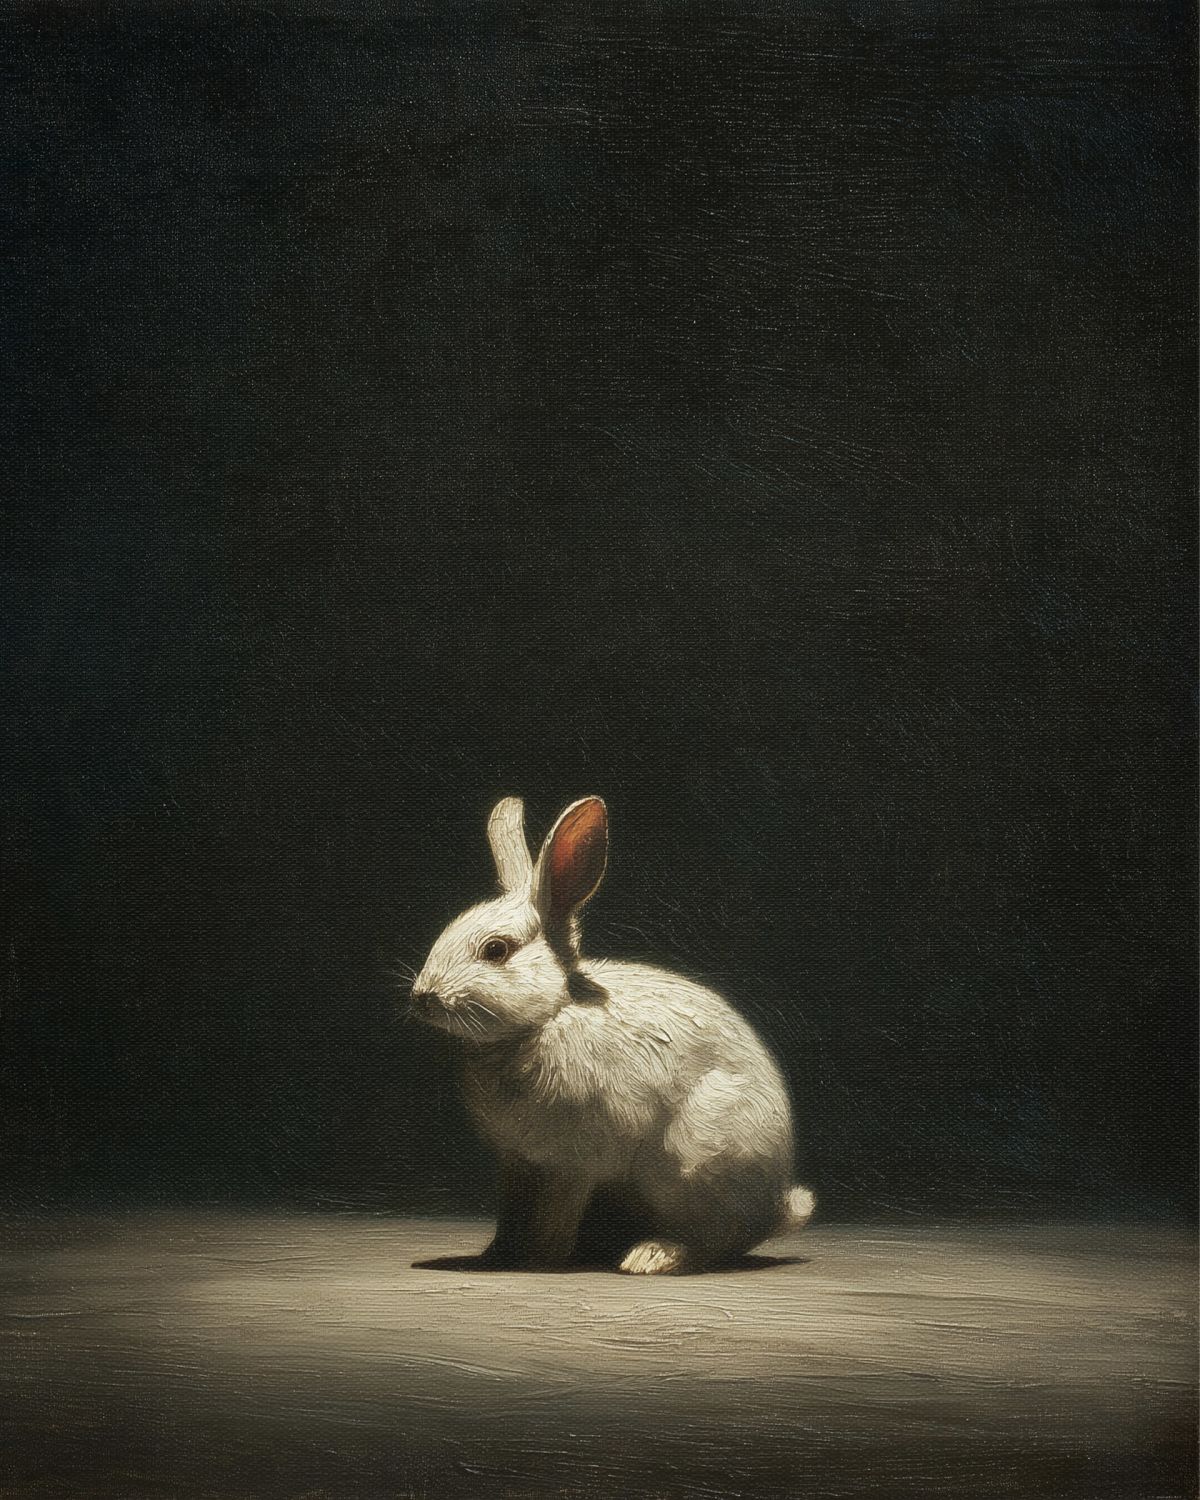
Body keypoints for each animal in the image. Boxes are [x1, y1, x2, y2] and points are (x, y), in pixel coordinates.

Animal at [409, 795, 815, 1274]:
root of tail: (777, 1208)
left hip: (695, 1163)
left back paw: (651, 1256)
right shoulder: (518, 1163)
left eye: (496, 950)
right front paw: (497, 1254)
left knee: (715, 1239)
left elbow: (555, 1212)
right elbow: (513, 1213)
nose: (423, 997)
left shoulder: (573, 1162)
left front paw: (539, 1258)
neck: (546, 1017)